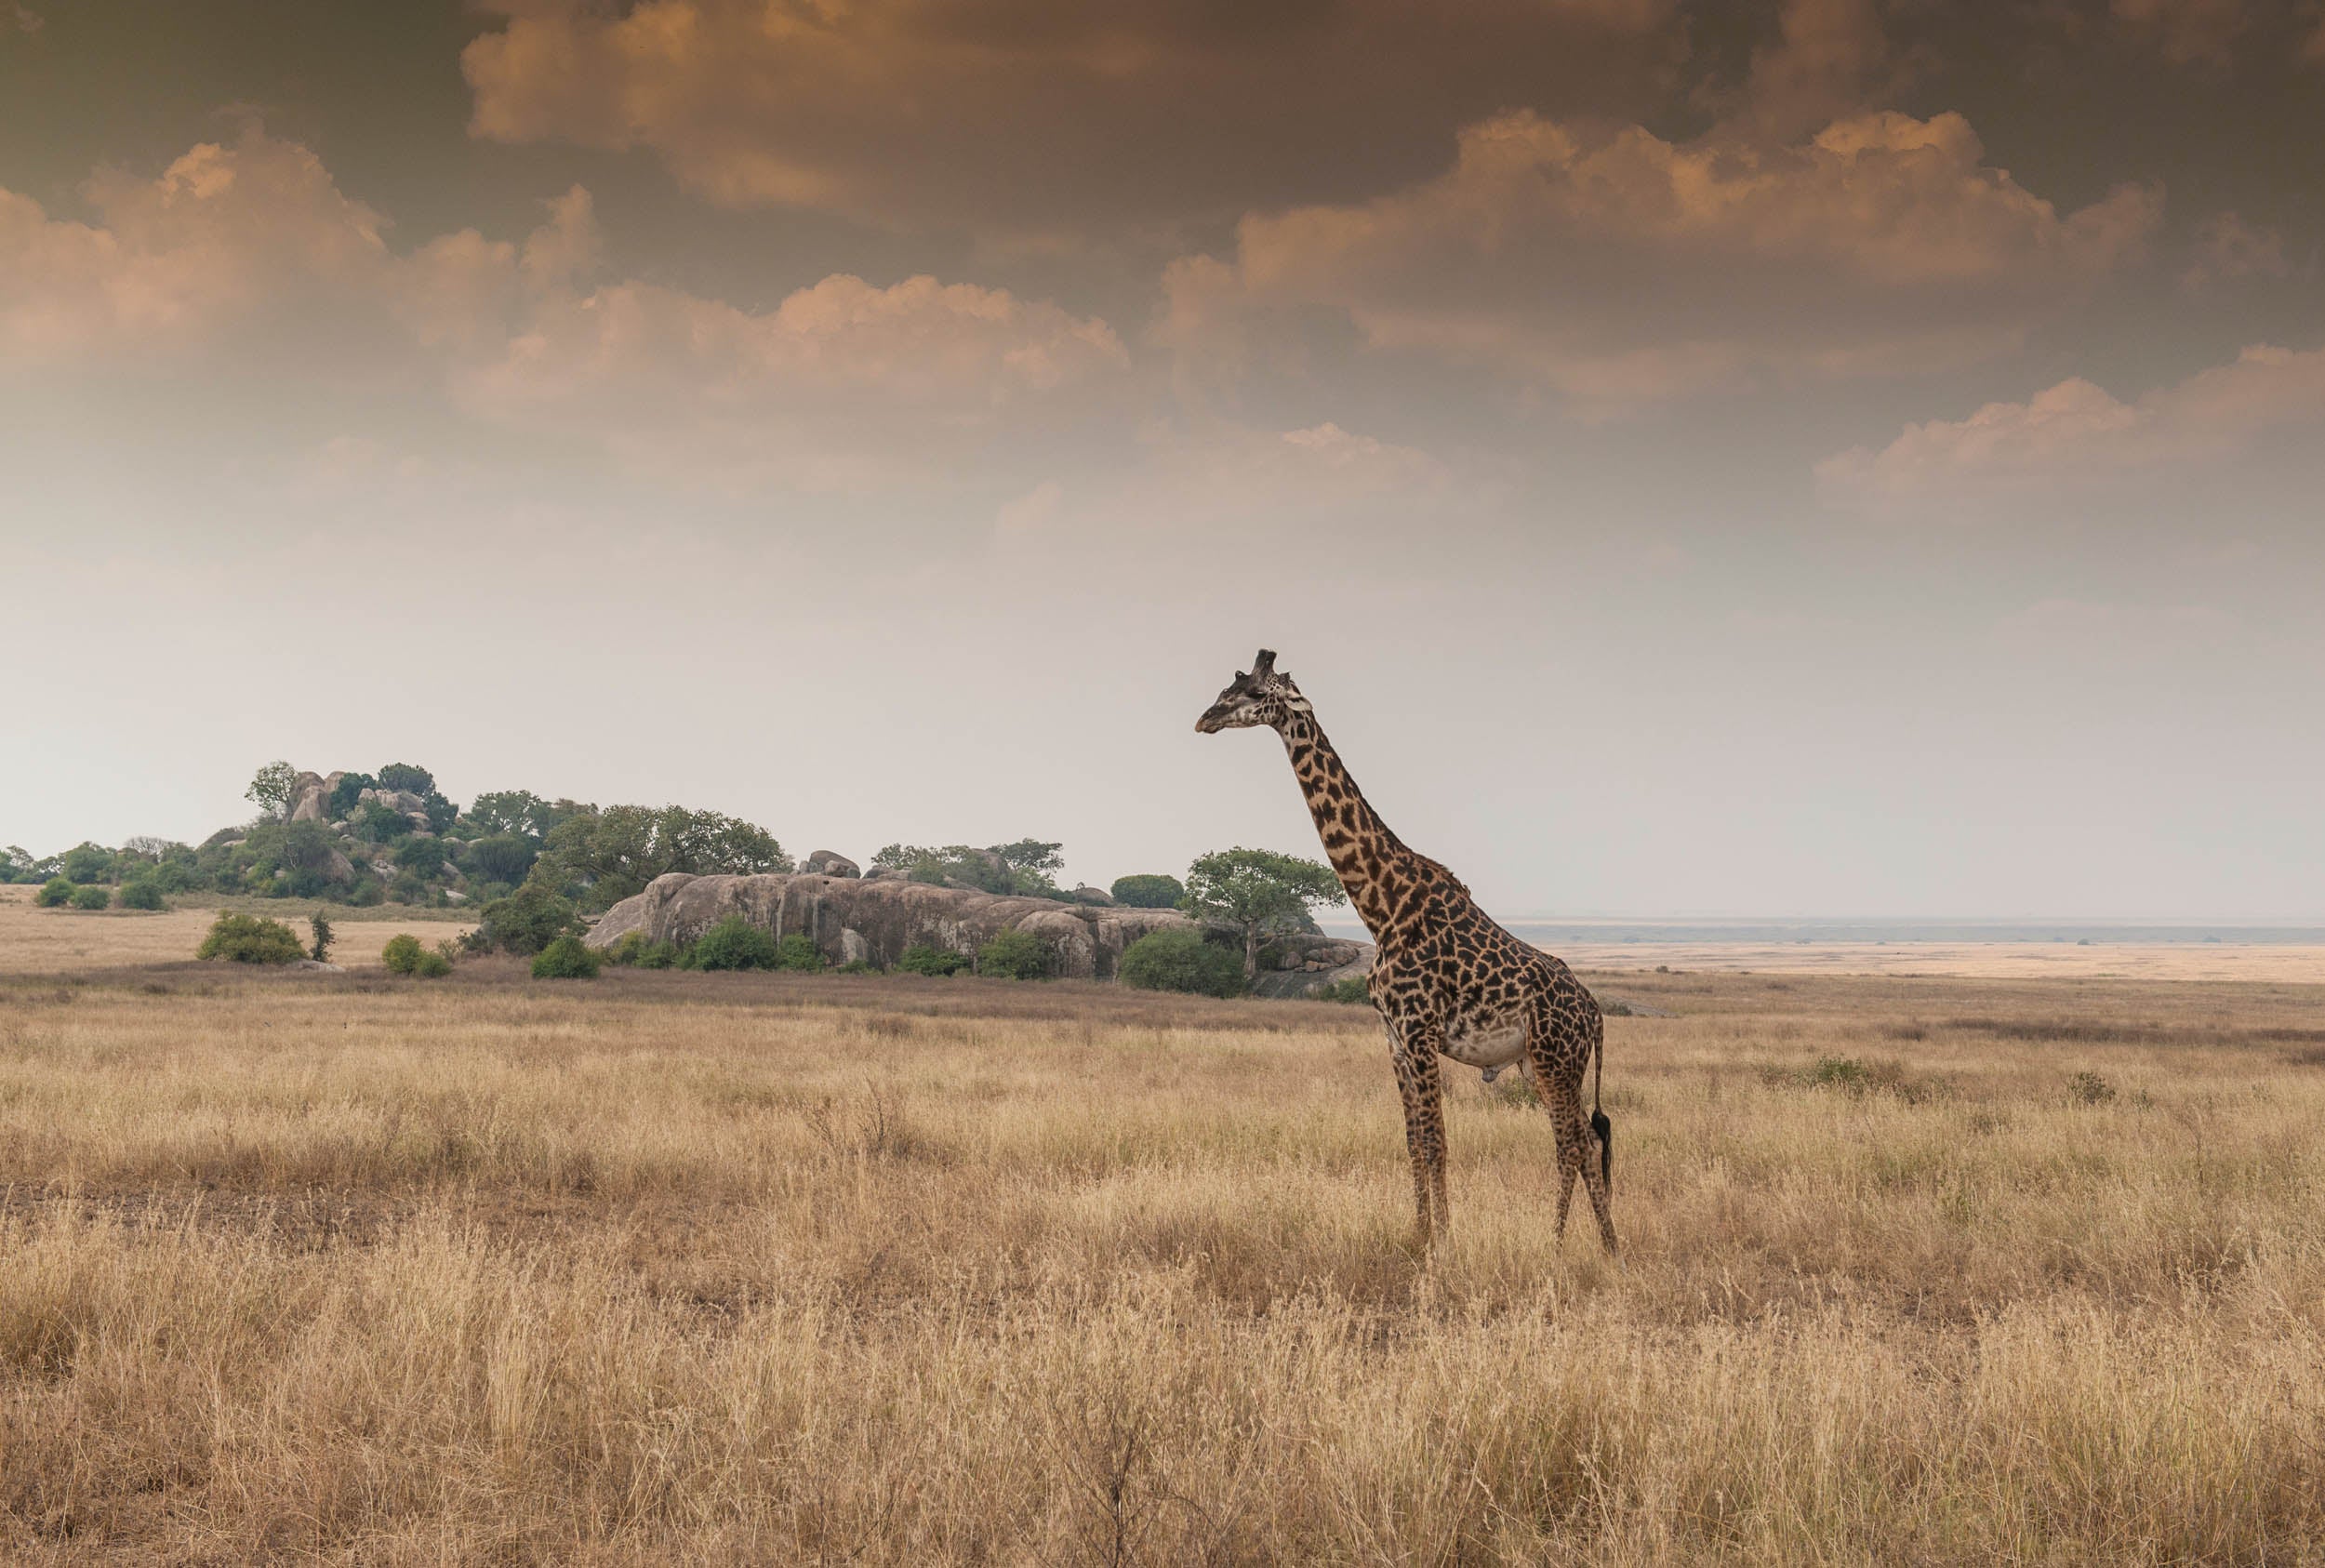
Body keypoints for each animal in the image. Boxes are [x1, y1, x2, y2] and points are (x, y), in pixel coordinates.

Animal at [1196, 650, 1617, 1252]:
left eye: (1255, 693)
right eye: (1229, 686)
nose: (1204, 718)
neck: (1383, 907)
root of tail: (1596, 1013)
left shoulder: (1420, 1030)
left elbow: (1438, 1141)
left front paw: (1444, 1243)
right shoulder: (1393, 1037)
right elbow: (1414, 1142)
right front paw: (1419, 1236)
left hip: (1557, 1059)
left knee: (1575, 1142)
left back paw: (1570, 1246)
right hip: (1538, 1064)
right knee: (1581, 1139)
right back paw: (1597, 1246)